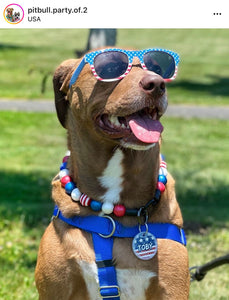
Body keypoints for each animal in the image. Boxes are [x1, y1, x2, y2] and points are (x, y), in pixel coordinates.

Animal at [35, 48, 190, 298]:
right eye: (109, 68)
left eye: (157, 68)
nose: (156, 83)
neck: (112, 216)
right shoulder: (55, 287)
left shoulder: (171, 287)